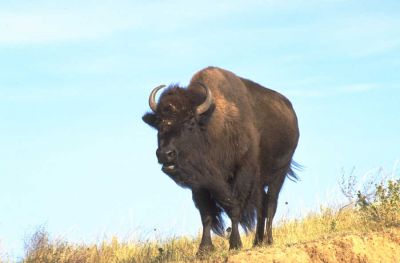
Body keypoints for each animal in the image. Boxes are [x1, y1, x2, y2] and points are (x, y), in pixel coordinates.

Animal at [142, 67, 298, 253]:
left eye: (190, 122)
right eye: (159, 123)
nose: (165, 154)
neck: (211, 126)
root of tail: (291, 113)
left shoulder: (241, 174)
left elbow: (234, 207)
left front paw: (235, 243)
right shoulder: (201, 184)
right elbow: (206, 213)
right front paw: (203, 249)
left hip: (279, 173)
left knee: (270, 204)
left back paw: (268, 240)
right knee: (262, 205)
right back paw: (257, 241)